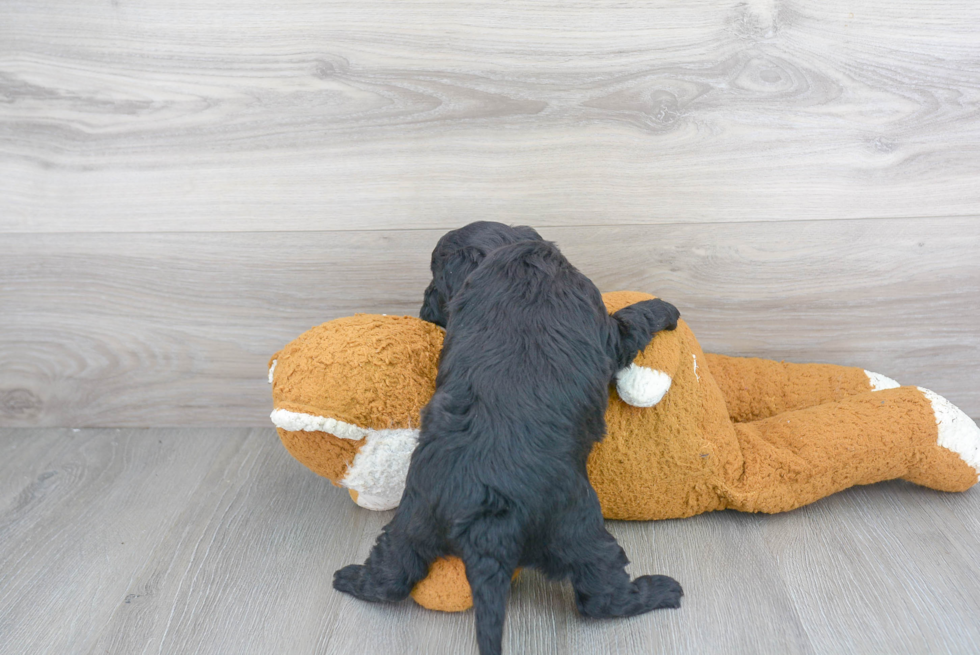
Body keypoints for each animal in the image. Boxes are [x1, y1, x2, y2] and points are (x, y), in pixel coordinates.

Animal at [336, 241, 680, 655]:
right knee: (601, 596)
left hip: (413, 521)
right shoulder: (606, 328)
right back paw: (662, 591)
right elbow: (634, 320)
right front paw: (667, 308)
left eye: (435, 280)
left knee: (391, 574)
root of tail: (487, 525)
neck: (519, 265)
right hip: (578, 531)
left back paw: (348, 578)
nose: (423, 309)